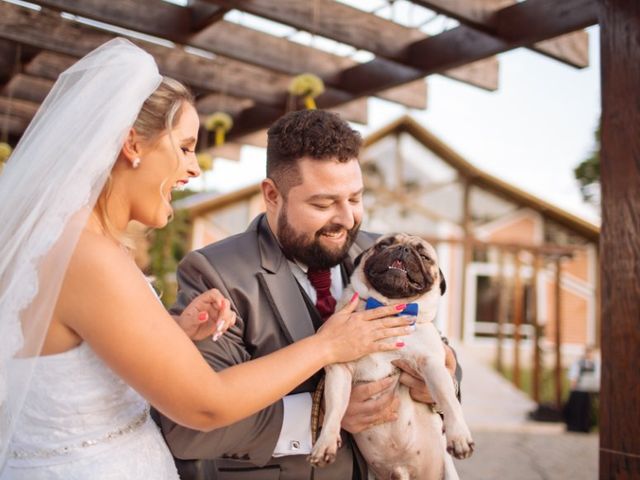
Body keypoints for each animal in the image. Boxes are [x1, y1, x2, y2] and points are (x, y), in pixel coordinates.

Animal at [308, 233, 472, 480]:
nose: (403, 249)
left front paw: (459, 436)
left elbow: (449, 401)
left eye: (424, 256)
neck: (387, 310)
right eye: (384, 245)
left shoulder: (432, 364)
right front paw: (325, 442)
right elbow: (335, 409)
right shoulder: (340, 370)